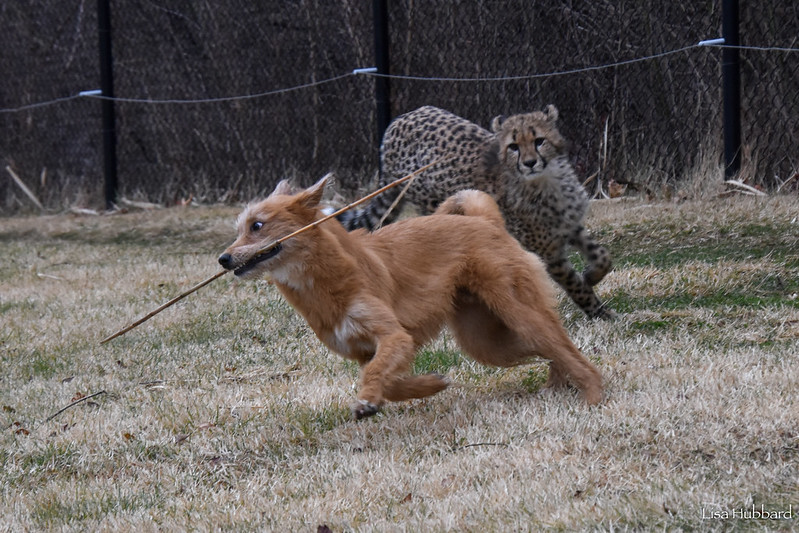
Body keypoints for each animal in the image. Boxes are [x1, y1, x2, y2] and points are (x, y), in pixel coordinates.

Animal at [216, 177, 604, 418]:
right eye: (240, 229)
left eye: (257, 226)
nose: (223, 259)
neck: (325, 280)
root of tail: (485, 221)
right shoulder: (364, 351)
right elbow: (390, 384)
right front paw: (428, 386)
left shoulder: (393, 336)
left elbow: (377, 374)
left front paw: (368, 400)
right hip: (487, 342)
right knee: (556, 349)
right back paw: (557, 384)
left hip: (517, 312)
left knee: (569, 351)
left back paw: (593, 398)